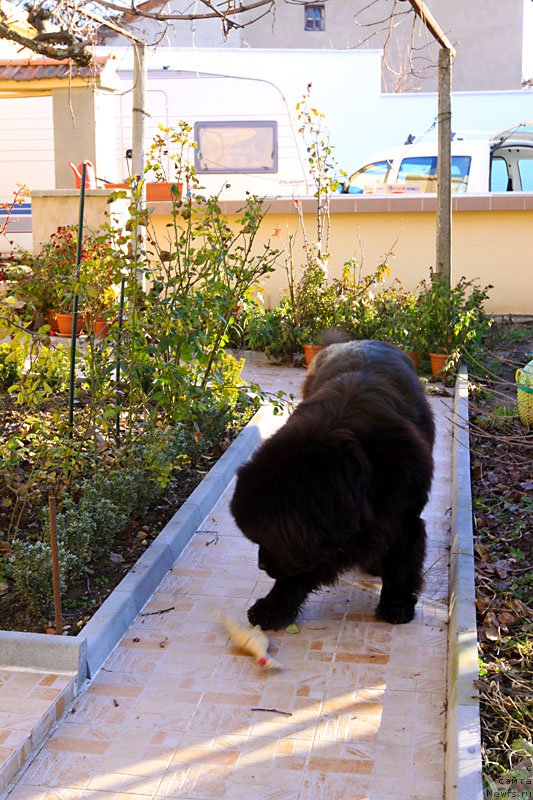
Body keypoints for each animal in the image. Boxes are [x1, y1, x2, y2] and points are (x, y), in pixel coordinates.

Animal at [231, 340, 434, 628]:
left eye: (267, 539)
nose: (261, 566)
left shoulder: (404, 514)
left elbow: (401, 563)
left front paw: (397, 603)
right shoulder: (320, 539)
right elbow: (302, 569)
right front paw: (275, 606)